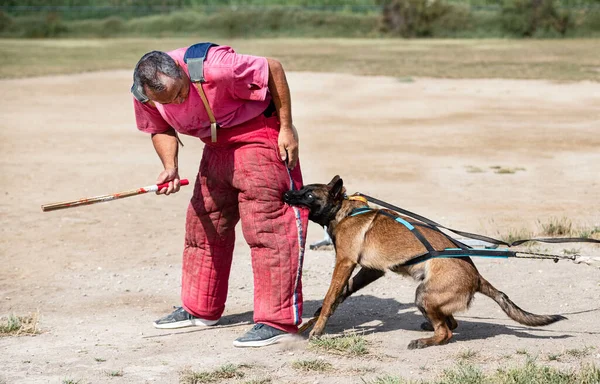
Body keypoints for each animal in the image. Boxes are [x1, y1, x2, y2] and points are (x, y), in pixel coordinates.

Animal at [284, 176, 564, 350]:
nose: (285, 193)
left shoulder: (345, 262)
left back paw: (425, 340)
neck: (344, 211)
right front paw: (315, 319)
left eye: (308, 193)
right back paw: (429, 325)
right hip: (430, 298)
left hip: (424, 294)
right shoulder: (370, 270)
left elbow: (331, 295)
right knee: (451, 323)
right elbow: (337, 296)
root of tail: (477, 277)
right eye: (300, 188)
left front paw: (317, 329)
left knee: (447, 332)